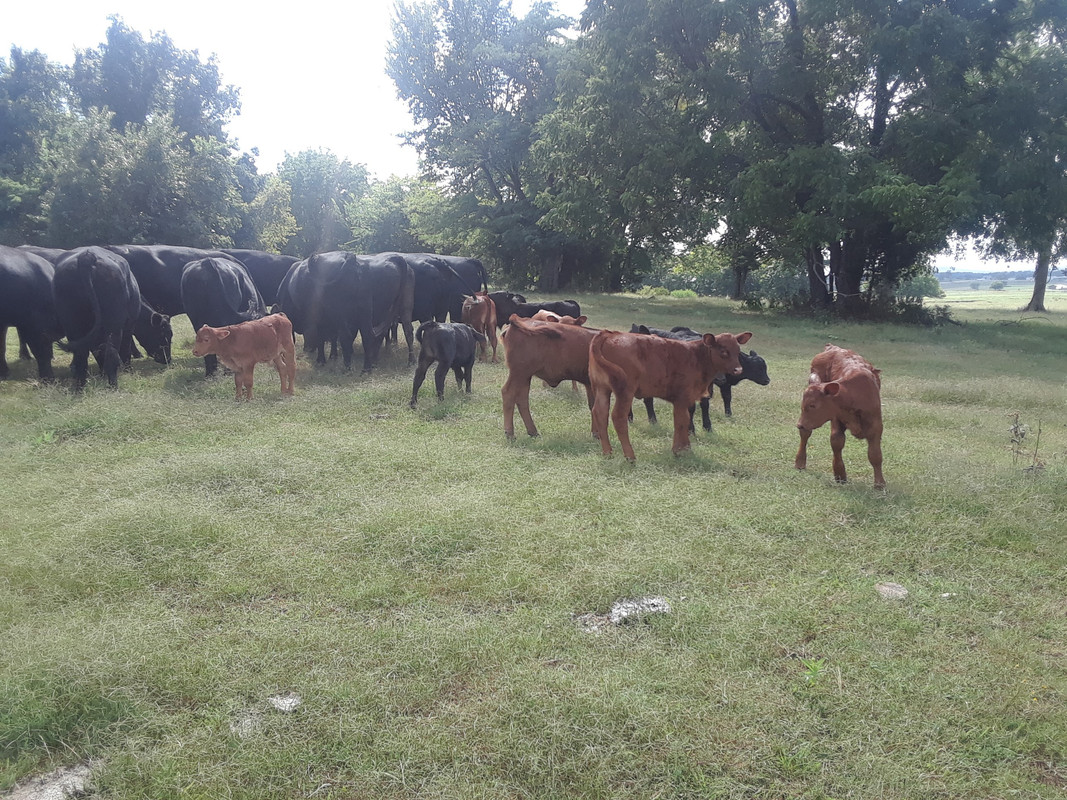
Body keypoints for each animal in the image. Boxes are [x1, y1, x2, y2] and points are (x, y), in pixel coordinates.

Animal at [52, 247, 142, 390]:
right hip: (113, 325)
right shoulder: (129, 325)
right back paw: (113, 386)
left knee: (81, 356)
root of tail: (87, 257)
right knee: (110, 353)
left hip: (72, 324)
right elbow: (125, 349)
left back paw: (80, 388)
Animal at [588, 328, 753, 461]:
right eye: (723, 351)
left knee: (600, 413)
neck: (697, 356)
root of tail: (610, 334)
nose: (738, 369)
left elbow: (685, 420)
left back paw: (608, 452)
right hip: (625, 392)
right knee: (618, 417)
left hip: (602, 388)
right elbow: (681, 421)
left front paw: (686, 448)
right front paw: (679, 450)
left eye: (738, 351)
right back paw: (630, 456)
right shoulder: (682, 398)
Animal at [629, 324, 770, 431]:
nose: (767, 380)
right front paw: (691, 429)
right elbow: (693, 407)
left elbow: (709, 403)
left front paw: (708, 426)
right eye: (759, 368)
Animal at [795, 344, 885, 488]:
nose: (799, 424)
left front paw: (879, 483)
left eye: (813, 405)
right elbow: (836, 442)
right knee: (805, 435)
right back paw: (800, 462)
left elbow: (875, 454)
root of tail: (832, 347)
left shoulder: (875, 425)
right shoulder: (836, 419)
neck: (853, 394)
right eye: (804, 404)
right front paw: (840, 474)